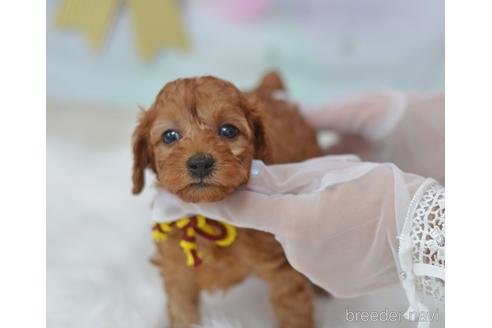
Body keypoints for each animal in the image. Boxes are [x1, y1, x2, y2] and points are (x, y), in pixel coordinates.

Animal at [133, 72, 320, 328]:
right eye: (170, 136)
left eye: (228, 131)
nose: (200, 163)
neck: (209, 215)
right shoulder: (177, 270)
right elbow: (182, 310)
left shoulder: (282, 269)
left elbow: (293, 311)